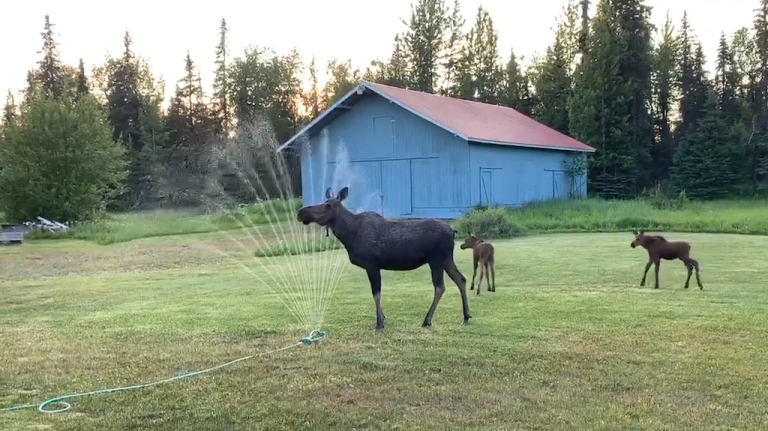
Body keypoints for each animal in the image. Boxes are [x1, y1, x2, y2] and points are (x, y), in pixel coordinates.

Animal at [296, 187, 472, 332]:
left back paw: (427, 320)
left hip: (436, 259)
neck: (349, 236)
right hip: (447, 259)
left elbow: (376, 294)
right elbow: (375, 293)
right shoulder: (373, 266)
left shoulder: (372, 263)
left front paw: (379, 324)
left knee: (440, 287)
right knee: (461, 279)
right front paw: (383, 318)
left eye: (328, 205)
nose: (300, 212)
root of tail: (453, 231)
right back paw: (466, 317)